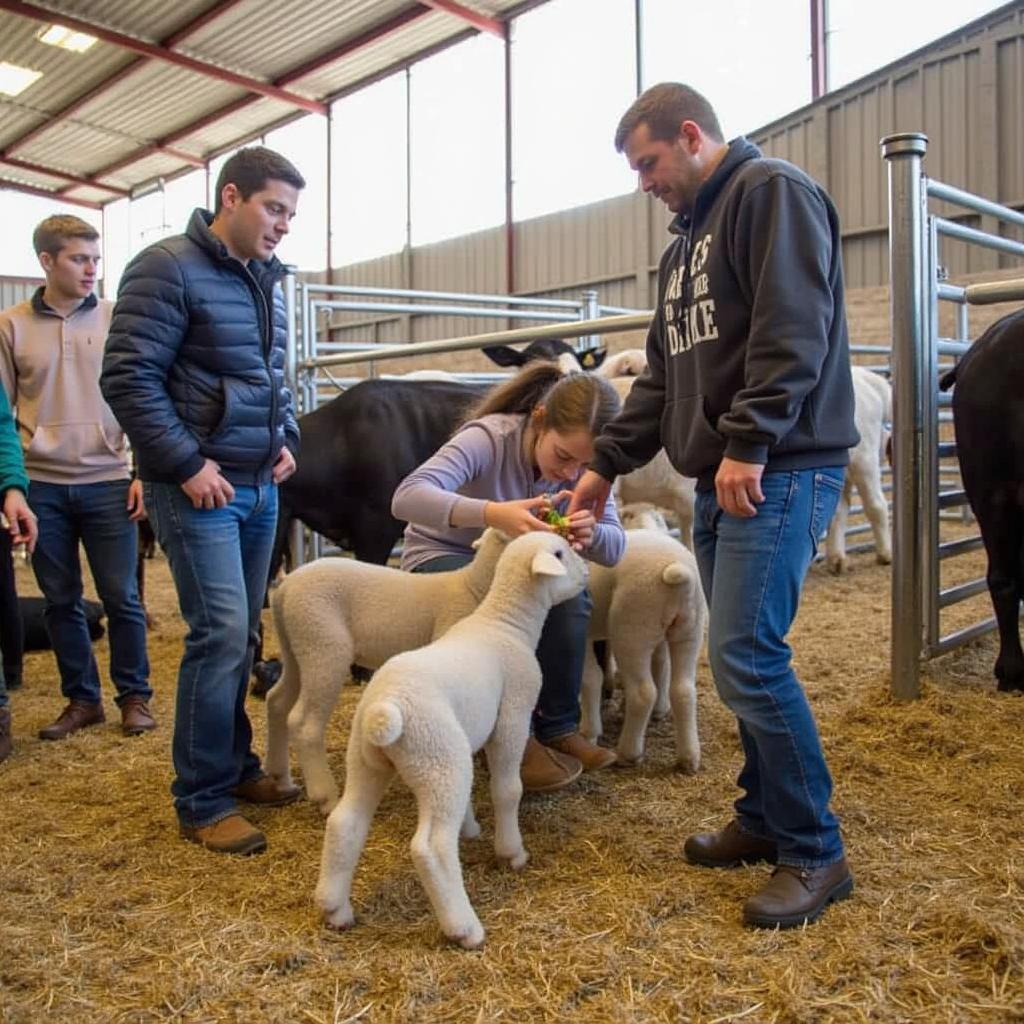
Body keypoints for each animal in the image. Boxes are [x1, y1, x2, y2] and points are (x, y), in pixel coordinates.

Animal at [262, 532, 505, 811]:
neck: (473, 588)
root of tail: (285, 588)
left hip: (295, 647)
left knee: (277, 700)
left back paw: (280, 776)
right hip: (322, 643)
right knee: (304, 723)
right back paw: (326, 797)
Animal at [313, 528, 585, 950]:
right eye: (561, 552)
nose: (587, 572)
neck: (504, 622)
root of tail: (386, 708)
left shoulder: (468, 736)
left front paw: (470, 828)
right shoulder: (513, 717)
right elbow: (508, 790)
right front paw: (511, 852)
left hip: (367, 759)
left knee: (345, 822)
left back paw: (335, 908)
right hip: (438, 756)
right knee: (431, 848)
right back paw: (464, 927)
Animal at [581, 516, 708, 770]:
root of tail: (677, 571)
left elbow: (589, 679)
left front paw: (588, 732)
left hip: (631, 629)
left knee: (643, 693)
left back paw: (628, 753)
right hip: (689, 630)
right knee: (684, 690)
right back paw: (689, 758)